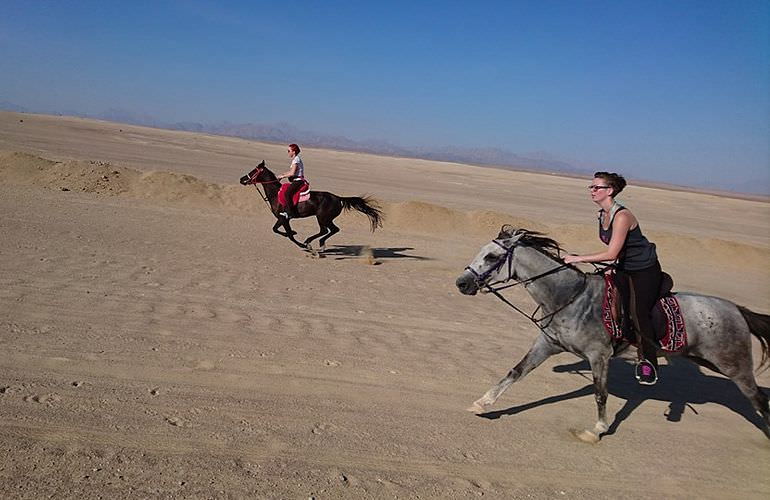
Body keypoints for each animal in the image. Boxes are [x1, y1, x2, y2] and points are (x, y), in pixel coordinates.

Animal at [240, 161, 380, 254]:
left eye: (254, 171)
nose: (242, 179)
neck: (276, 194)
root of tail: (338, 198)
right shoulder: (282, 218)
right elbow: (277, 230)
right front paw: (294, 233)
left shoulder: (284, 218)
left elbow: (287, 234)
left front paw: (302, 243)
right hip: (325, 218)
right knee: (330, 230)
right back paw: (318, 244)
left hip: (322, 217)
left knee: (328, 230)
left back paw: (311, 242)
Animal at [452, 227, 764, 442]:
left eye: (491, 256)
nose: (462, 283)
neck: (570, 297)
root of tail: (737, 310)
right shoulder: (548, 344)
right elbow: (516, 372)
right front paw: (482, 403)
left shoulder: (598, 355)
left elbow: (600, 394)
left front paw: (597, 430)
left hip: (734, 366)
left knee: (758, 398)